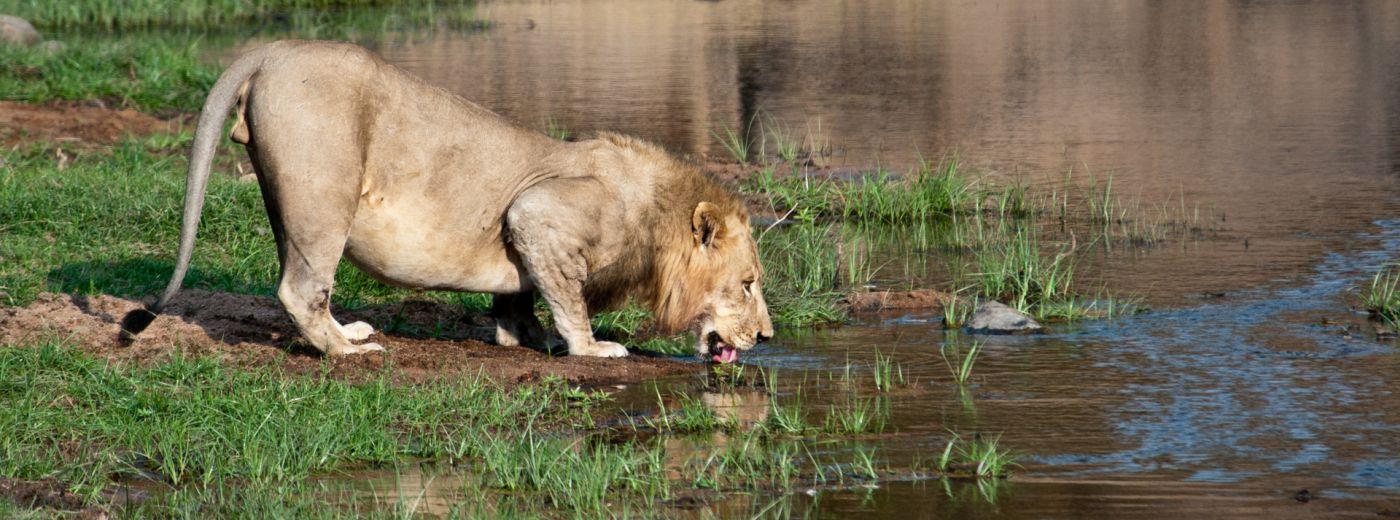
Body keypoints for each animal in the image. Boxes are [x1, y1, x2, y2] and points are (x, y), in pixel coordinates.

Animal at [117, 40, 778, 361]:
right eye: (747, 284)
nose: (768, 339)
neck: (654, 221)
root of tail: (272, 50)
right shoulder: (541, 212)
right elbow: (570, 300)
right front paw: (591, 348)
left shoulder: (525, 233)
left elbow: (520, 297)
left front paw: (526, 339)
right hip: (323, 194)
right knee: (299, 288)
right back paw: (346, 351)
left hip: (289, 200)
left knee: (304, 279)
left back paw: (346, 332)